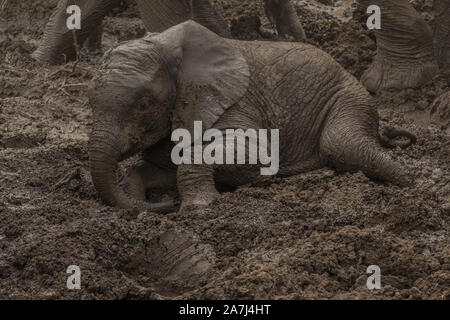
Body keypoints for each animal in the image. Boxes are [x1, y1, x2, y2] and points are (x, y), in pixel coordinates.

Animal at [89, 21, 416, 214]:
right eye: (90, 105)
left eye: (143, 105)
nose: (166, 205)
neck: (171, 46)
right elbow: (162, 165)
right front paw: (141, 198)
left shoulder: (235, 101)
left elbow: (253, 151)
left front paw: (199, 208)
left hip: (347, 96)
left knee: (341, 144)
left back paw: (408, 185)